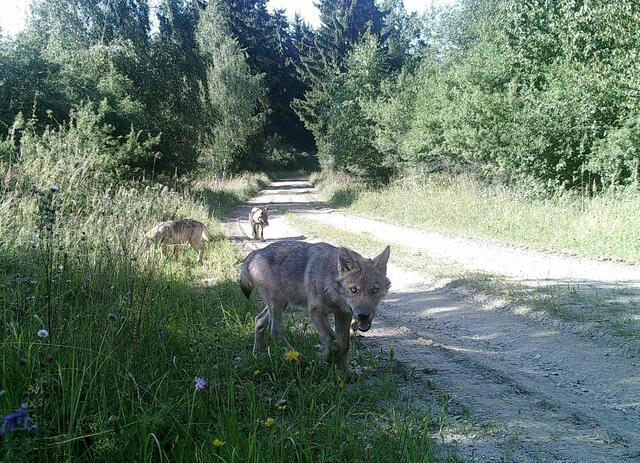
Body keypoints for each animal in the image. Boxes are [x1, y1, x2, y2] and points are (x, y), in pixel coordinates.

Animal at [239, 240, 391, 371]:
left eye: (374, 290)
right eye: (354, 289)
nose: (363, 315)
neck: (330, 285)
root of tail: (256, 252)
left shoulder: (344, 313)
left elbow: (345, 345)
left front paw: (345, 374)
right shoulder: (315, 312)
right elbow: (335, 342)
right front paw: (326, 358)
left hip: (282, 304)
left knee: (259, 320)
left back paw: (257, 355)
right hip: (278, 303)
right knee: (274, 331)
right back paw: (300, 358)